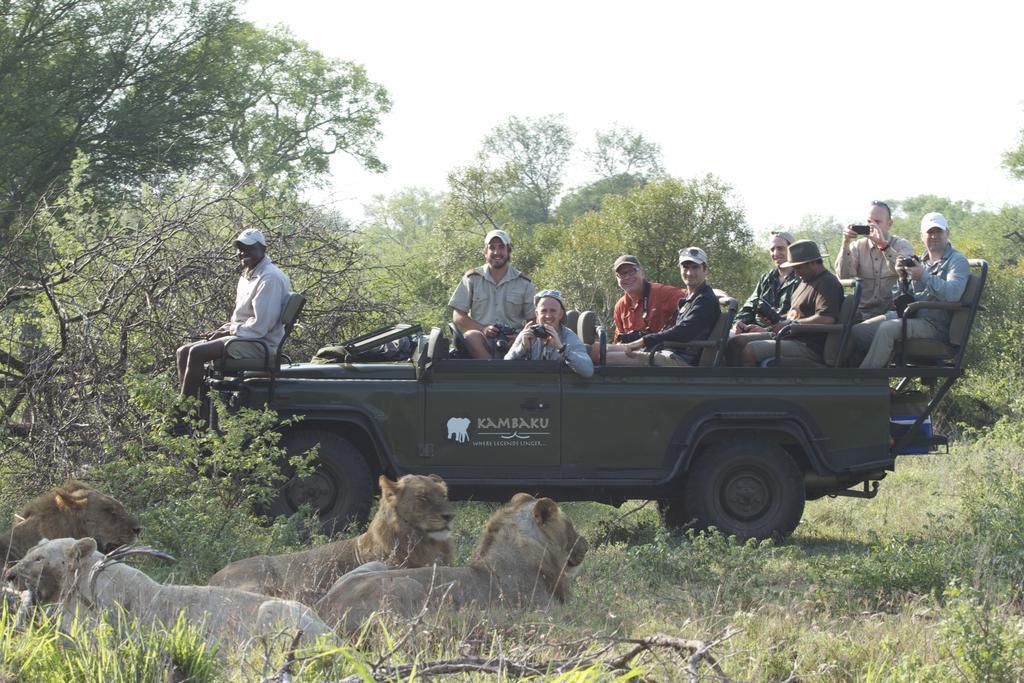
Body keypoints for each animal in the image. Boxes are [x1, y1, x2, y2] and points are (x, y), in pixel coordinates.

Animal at [205, 475, 454, 602]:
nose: (449, 515)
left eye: (443, 495)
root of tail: (211, 579)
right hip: (258, 578)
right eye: (422, 497)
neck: (428, 544)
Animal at [317, 493, 593, 634]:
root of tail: (324, 608)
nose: (586, 543)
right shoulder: (546, 612)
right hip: (406, 586)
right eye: (570, 525)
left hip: (375, 566)